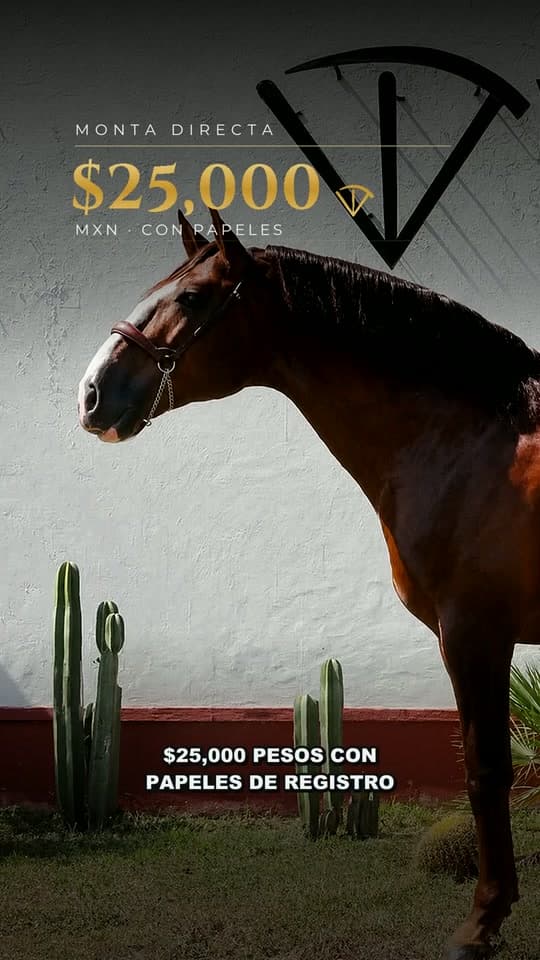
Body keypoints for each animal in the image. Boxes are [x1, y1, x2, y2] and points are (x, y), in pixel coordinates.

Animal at [78, 207, 540, 960]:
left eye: (191, 298)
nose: (92, 393)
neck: (476, 443)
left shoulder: (475, 632)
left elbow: (486, 772)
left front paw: (482, 922)